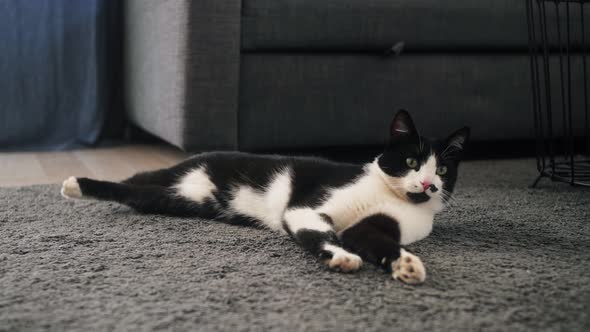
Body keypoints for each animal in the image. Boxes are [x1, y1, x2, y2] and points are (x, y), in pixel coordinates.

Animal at [61, 111, 472, 286]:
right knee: (130, 182)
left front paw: (404, 265)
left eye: (442, 170)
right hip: (173, 177)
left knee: (139, 194)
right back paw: (74, 184)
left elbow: (374, 240)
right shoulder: (307, 207)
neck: (391, 198)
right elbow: (317, 233)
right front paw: (339, 257)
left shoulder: (375, 227)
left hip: (176, 200)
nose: (428, 185)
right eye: (412, 161)